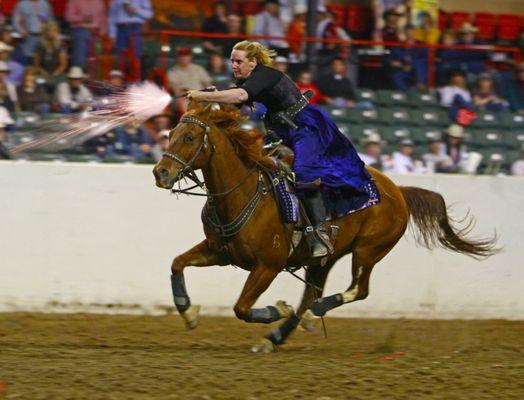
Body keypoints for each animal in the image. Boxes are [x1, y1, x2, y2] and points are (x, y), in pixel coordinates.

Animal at [152, 101, 500, 352]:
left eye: (190, 137)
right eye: (170, 134)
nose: (160, 172)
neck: (244, 193)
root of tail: (398, 191)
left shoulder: (267, 265)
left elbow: (241, 307)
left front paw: (277, 309)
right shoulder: (219, 251)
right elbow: (177, 263)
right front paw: (188, 312)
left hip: (369, 250)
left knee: (356, 290)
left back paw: (309, 314)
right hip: (323, 259)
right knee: (310, 295)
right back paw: (277, 336)